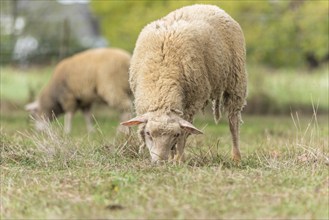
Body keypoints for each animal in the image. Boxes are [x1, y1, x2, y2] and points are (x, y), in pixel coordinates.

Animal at [120, 4, 246, 163]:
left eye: (175, 134)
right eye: (148, 133)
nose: (160, 162)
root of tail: (209, 6)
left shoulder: (192, 103)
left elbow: (184, 136)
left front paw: (178, 160)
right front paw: (173, 158)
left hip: (236, 81)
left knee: (233, 121)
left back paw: (236, 157)